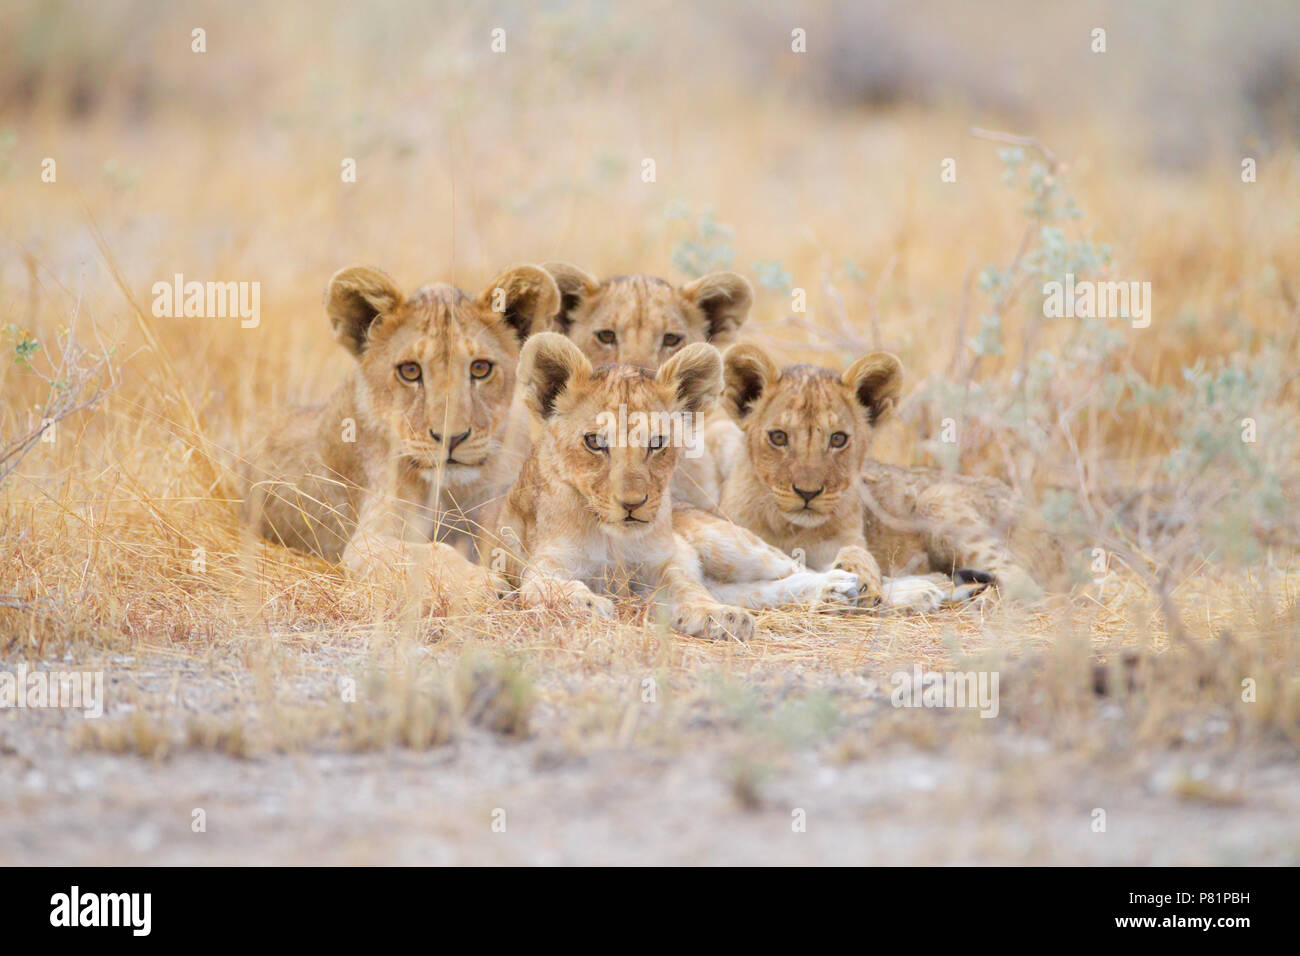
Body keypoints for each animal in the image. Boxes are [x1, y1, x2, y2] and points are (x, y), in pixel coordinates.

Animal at [243, 264, 560, 601]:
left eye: (480, 368)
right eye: (410, 371)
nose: (452, 438)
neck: (452, 494)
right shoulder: (367, 542)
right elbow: (431, 554)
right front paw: (484, 584)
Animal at [484, 333, 865, 640]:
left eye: (657, 442)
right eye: (594, 442)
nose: (632, 504)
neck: (611, 537)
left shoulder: (666, 563)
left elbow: (689, 590)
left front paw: (719, 617)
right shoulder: (543, 566)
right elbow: (548, 589)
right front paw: (589, 604)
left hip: (727, 542)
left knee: (794, 569)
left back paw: (847, 585)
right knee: (764, 590)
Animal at [719, 342, 1021, 608]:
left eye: (838, 439)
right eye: (778, 437)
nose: (807, 493)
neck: (789, 528)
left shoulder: (844, 541)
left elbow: (858, 554)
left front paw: (862, 581)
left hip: (938, 501)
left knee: (1018, 578)